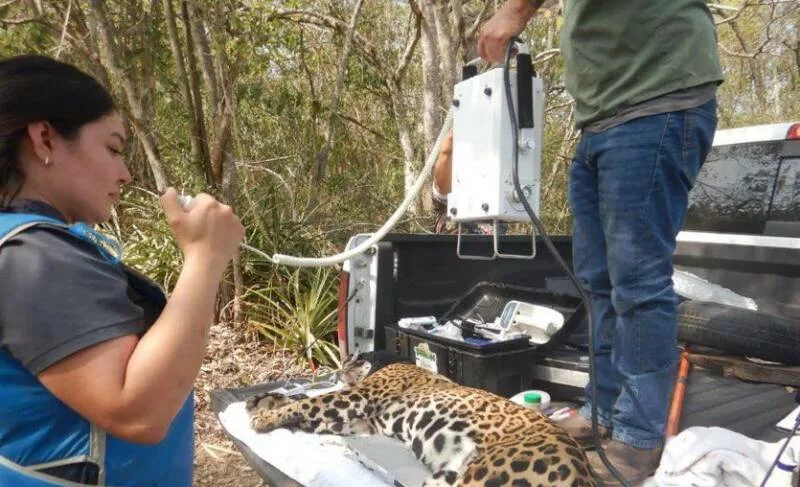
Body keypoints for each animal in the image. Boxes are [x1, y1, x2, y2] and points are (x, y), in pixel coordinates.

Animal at [246, 351, 596, 487]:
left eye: (357, 357)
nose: (342, 364)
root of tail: (584, 474)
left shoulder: (358, 398)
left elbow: (315, 402)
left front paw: (265, 416)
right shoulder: (358, 422)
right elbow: (307, 404)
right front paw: (262, 402)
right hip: (448, 477)